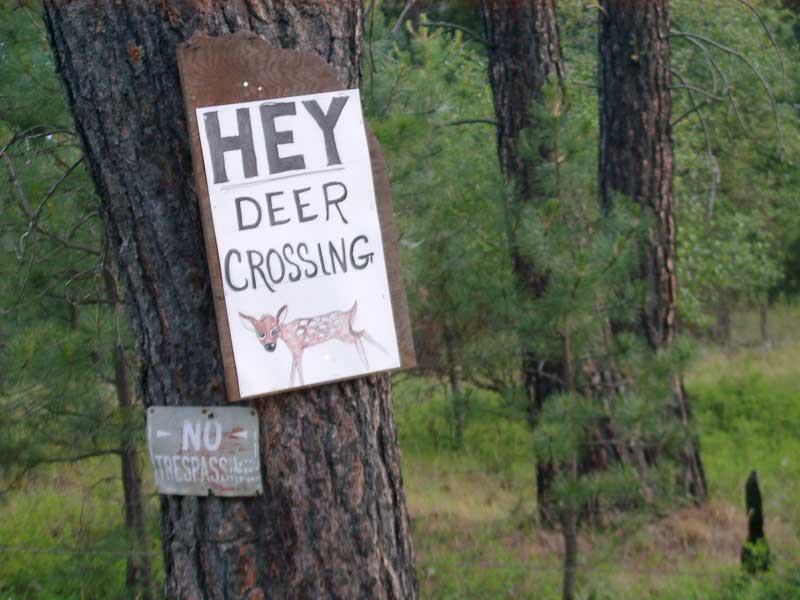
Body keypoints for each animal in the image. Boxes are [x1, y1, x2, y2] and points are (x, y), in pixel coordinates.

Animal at [239, 301, 386, 386]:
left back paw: (371, 364)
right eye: (260, 334)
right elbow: (292, 371)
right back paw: (380, 359)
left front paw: (301, 384)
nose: (270, 347)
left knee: (358, 336)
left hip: (343, 334)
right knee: (362, 332)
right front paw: (291, 386)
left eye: (274, 331)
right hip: (347, 331)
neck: (287, 333)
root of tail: (348, 313)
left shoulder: (298, 348)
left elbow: (298, 370)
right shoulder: (294, 350)